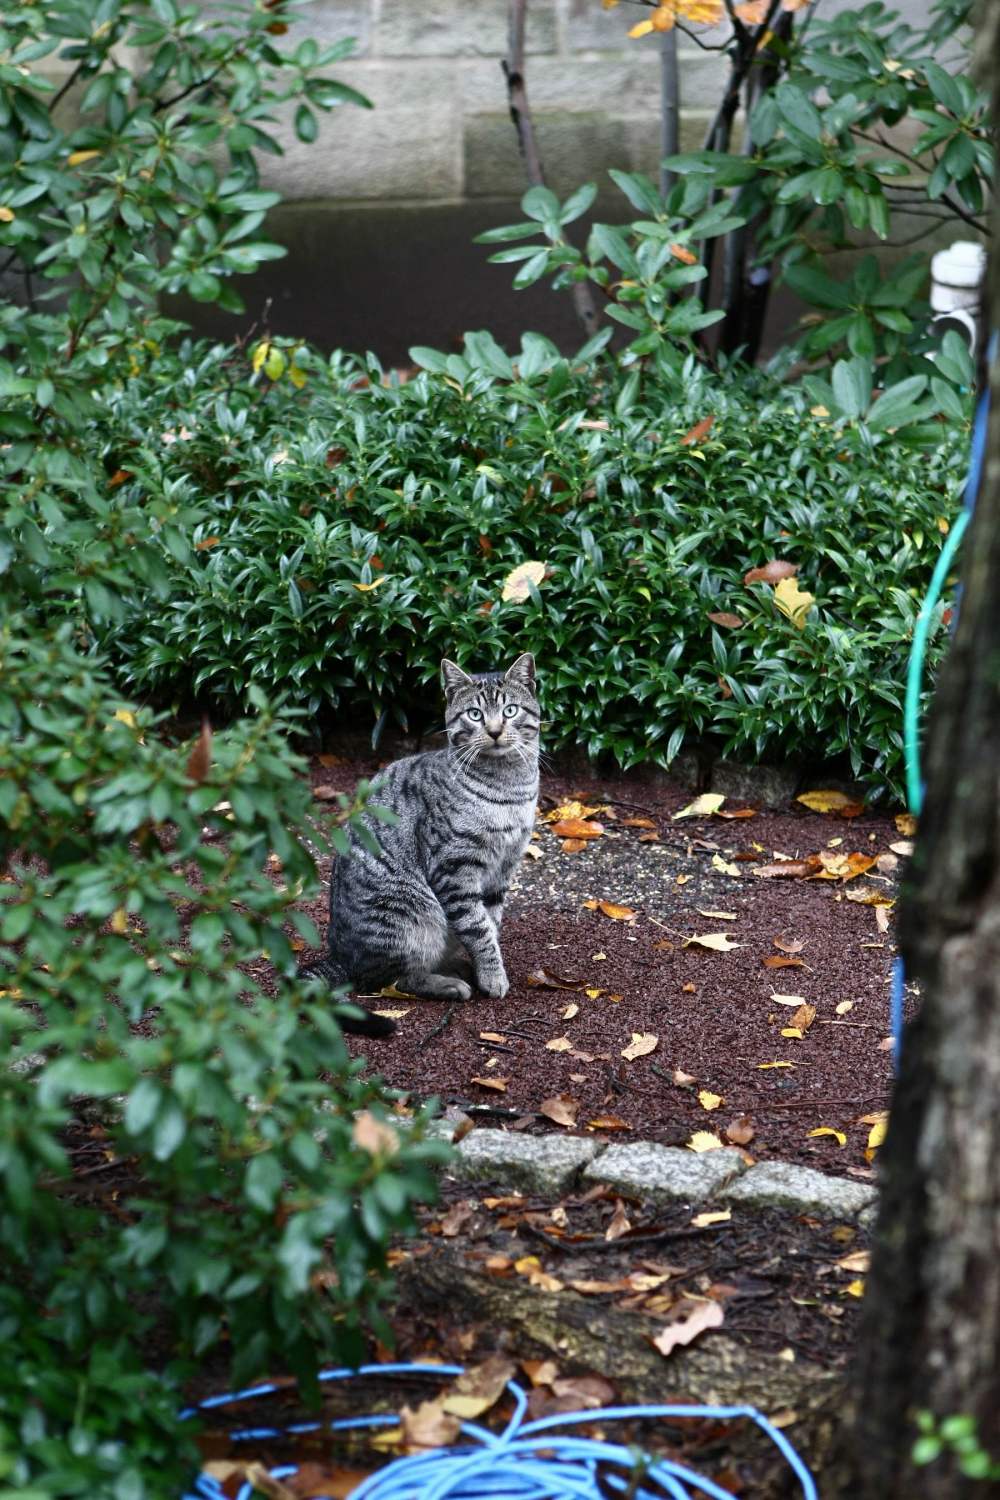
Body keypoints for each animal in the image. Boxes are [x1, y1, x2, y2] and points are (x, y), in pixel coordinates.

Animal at [302, 651, 539, 1038]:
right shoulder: (454, 868)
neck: (509, 787)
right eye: (475, 714)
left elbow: (490, 923)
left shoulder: (504, 868)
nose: (494, 730)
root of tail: (340, 957)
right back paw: (448, 984)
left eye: (510, 710)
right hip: (412, 917)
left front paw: (486, 967)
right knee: (394, 981)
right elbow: (478, 928)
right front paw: (492, 975)